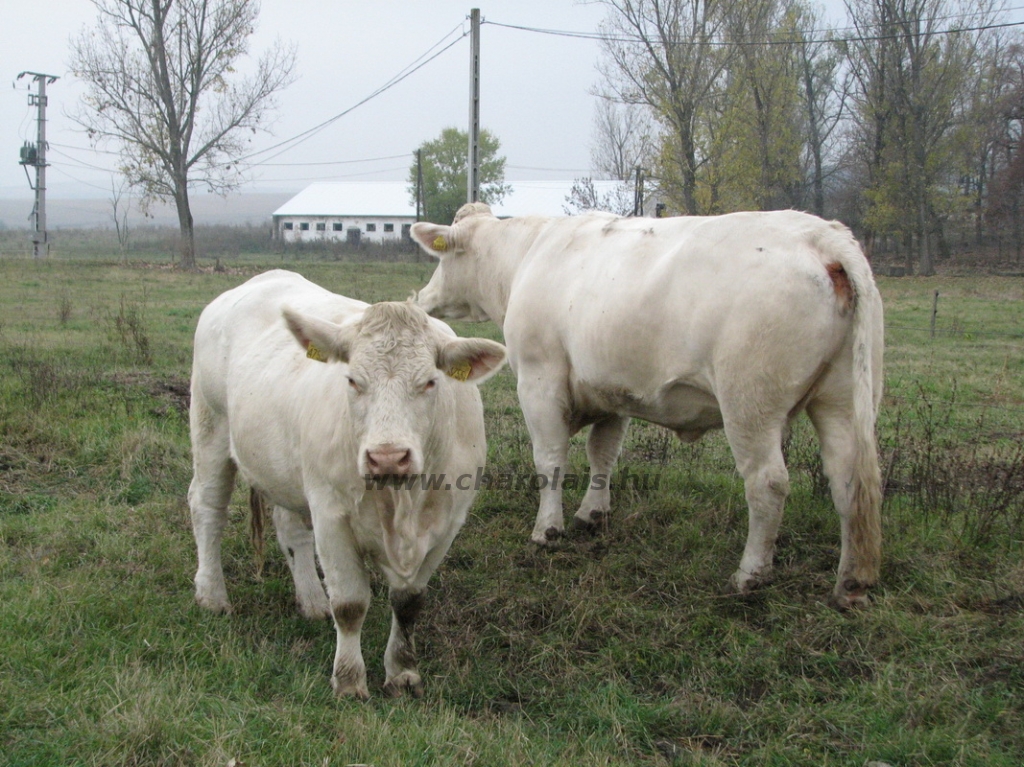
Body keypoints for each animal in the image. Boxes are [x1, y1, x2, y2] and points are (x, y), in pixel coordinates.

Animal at [188, 268, 507, 692]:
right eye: (353, 380)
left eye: (430, 382)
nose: (387, 456)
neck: (401, 504)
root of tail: (260, 280)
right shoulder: (331, 514)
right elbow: (351, 604)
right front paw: (350, 679)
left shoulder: (446, 524)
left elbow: (408, 603)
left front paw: (402, 672)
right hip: (210, 426)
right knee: (207, 507)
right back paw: (212, 594)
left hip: (287, 468)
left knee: (289, 527)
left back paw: (311, 601)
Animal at [411, 204, 884, 610]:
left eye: (442, 258)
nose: (421, 298)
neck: (526, 257)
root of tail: (821, 235)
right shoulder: (611, 389)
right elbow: (603, 454)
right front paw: (592, 513)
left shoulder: (538, 378)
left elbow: (550, 459)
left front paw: (548, 529)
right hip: (842, 399)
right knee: (850, 480)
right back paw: (851, 584)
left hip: (750, 402)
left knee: (768, 483)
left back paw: (749, 574)